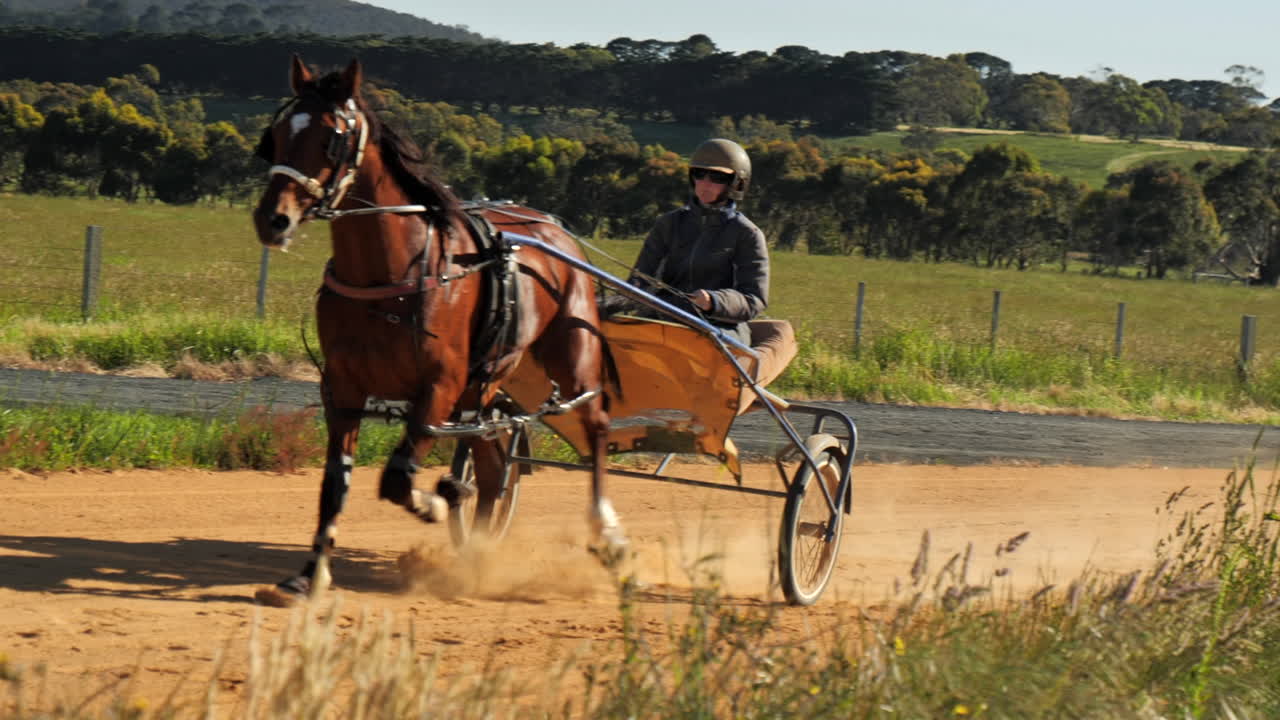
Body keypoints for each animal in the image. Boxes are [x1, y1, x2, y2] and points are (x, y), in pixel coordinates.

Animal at [250, 55, 625, 606]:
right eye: (276, 135)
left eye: (332, 138)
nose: (272, 219)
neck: (392, 272)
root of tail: (553, 229)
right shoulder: (341, 387)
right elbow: (335, 483)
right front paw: (310, 574)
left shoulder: (440, 386)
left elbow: (397, 478)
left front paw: (437, 502)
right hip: (491, 378)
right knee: (492, 459)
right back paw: (481, 549)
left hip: (571, 350)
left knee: (595, 425)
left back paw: (607, 533)